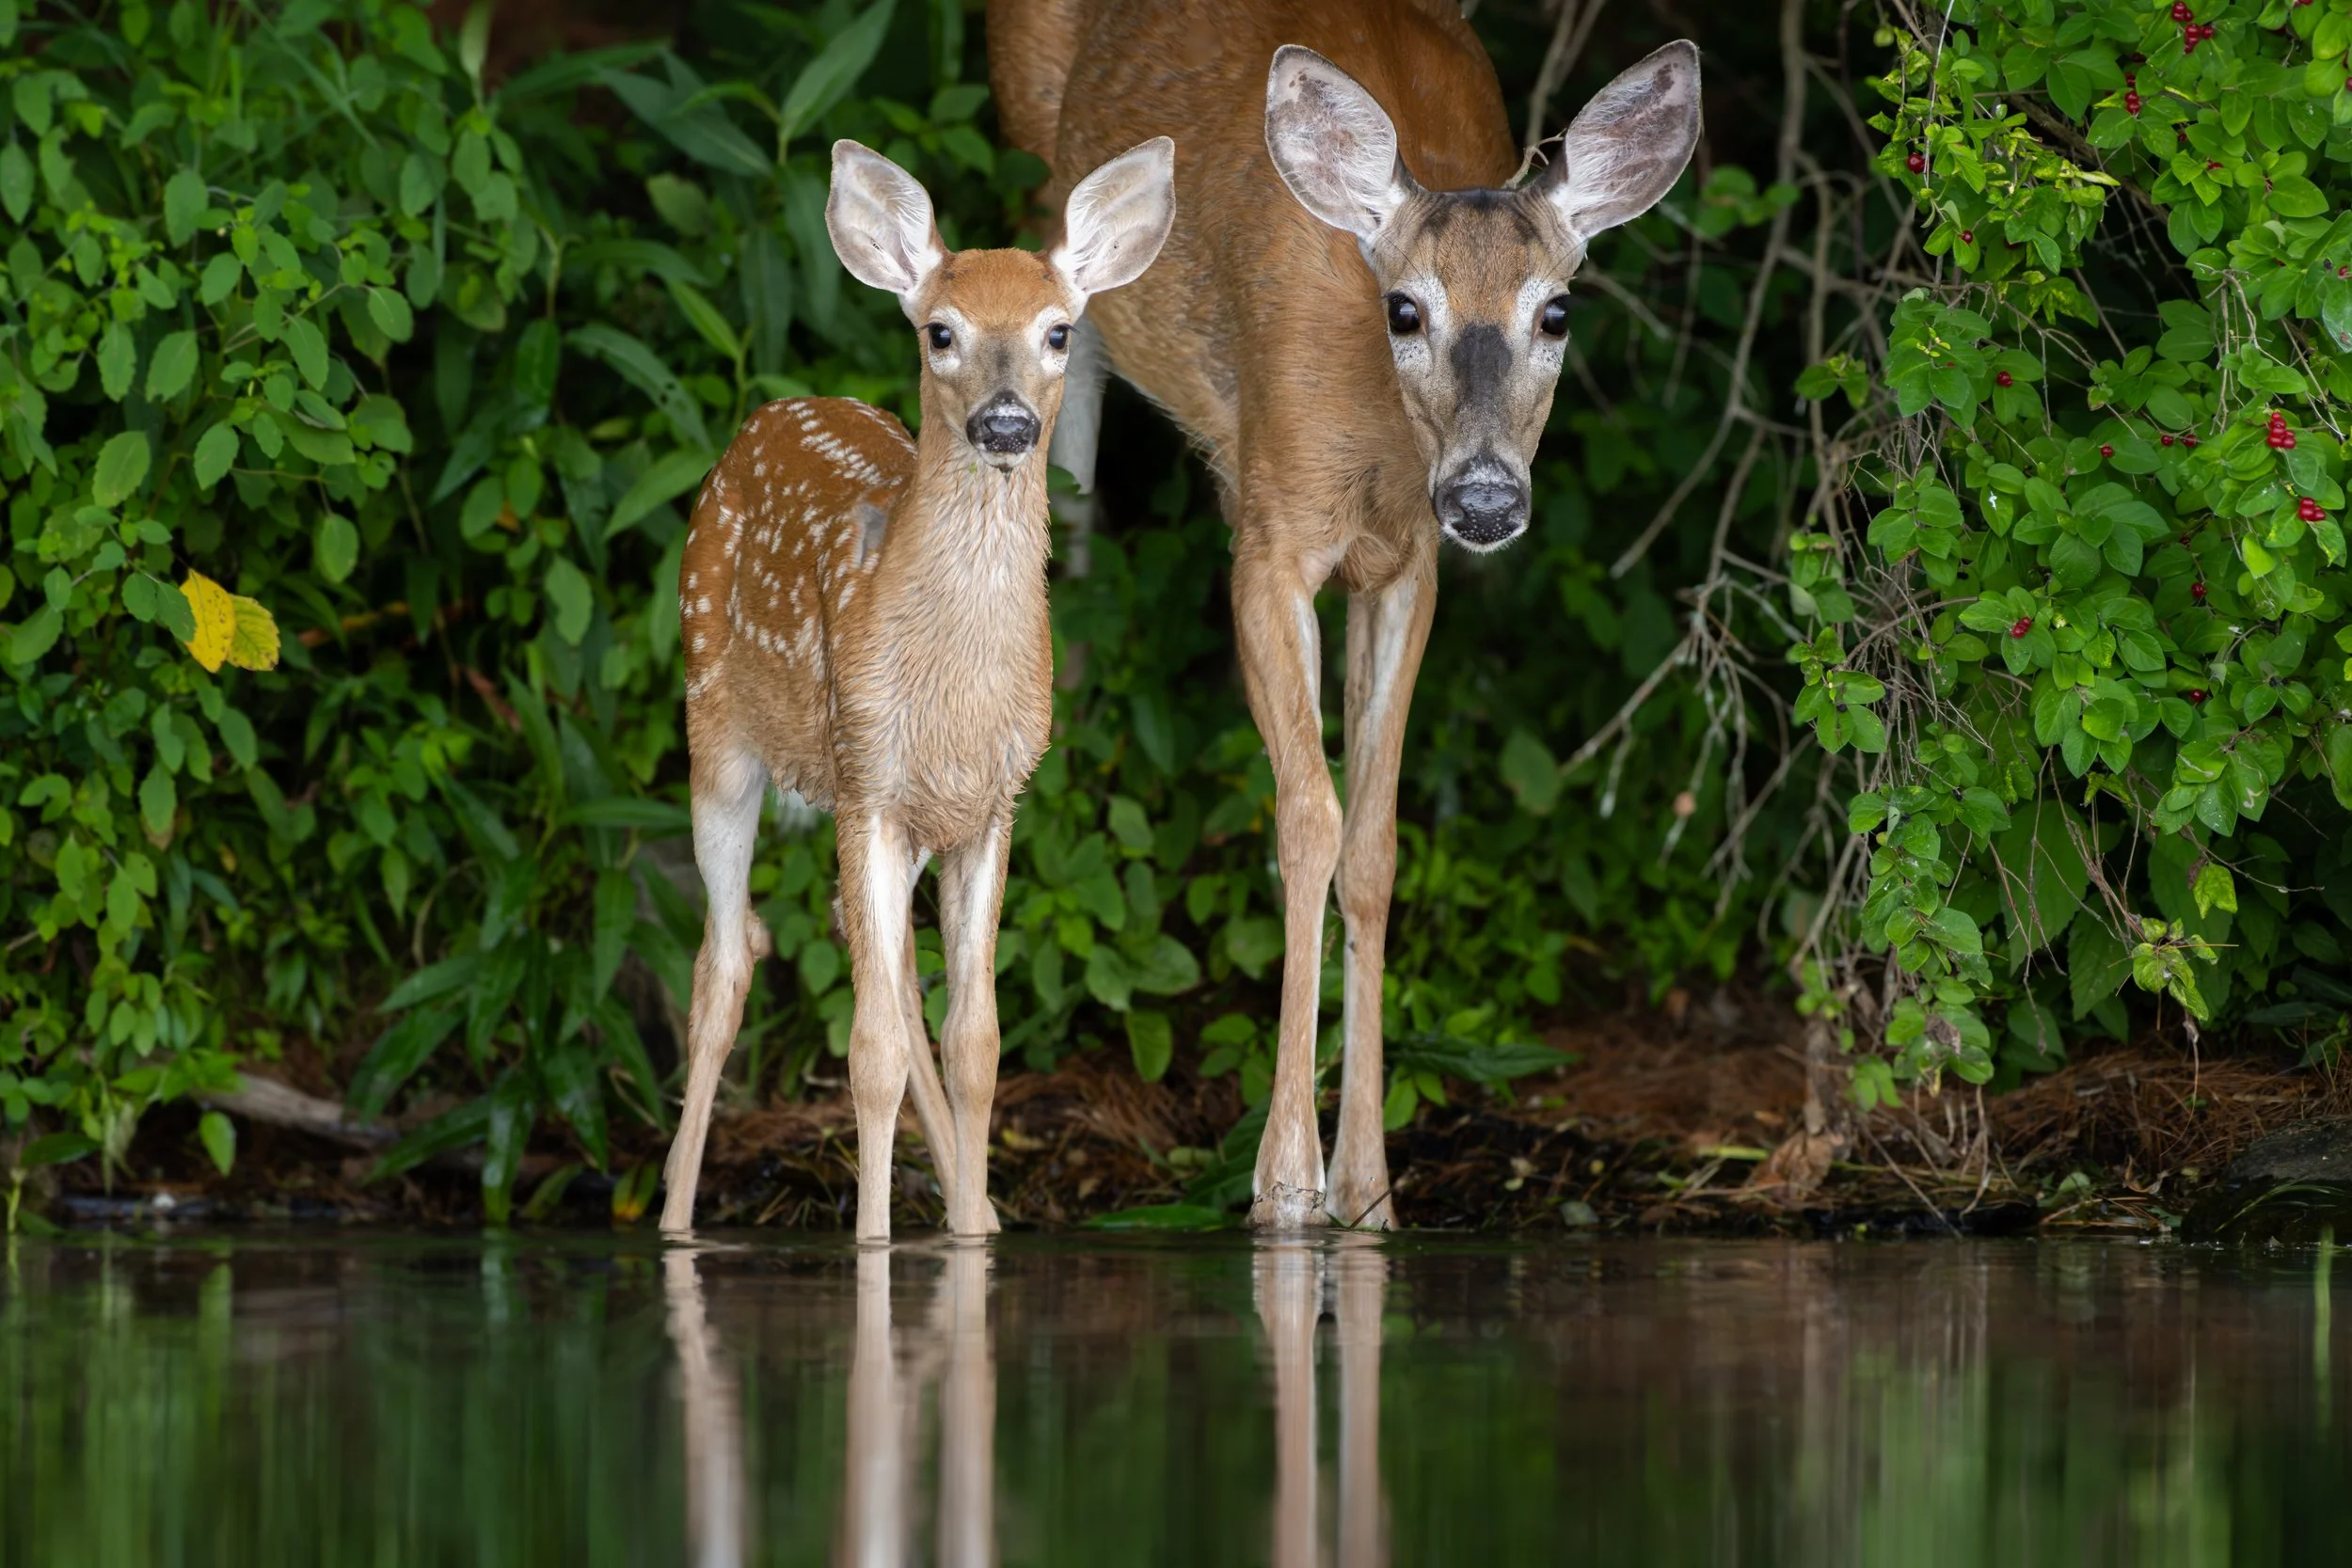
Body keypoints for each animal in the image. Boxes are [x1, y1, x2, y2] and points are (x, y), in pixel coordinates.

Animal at [657, 135, 1177, 1240]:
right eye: (941, 331)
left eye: (1058, 331)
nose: (1006, 422)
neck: (952, 686)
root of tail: (768, 414)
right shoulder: (870, 782)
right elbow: (869, 1053)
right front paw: (873, 1242)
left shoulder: (991, 799)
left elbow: (973, 1042)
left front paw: (971, 1233)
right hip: (717, 725)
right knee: (725, 963)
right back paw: (674, 1219)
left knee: (874, 961)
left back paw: (976, 1211)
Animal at [989, 3, 1700, 1228]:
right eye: (1404, 308)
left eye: (1556, 310)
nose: (1485, 496)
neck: (1375, 438)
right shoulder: (1268, 540)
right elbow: (1305, 821)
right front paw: (1283, 1182)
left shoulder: (1406, 567)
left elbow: (1371, 838)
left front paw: (1367, 1189)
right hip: (1030, 137)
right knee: (1060, 384)